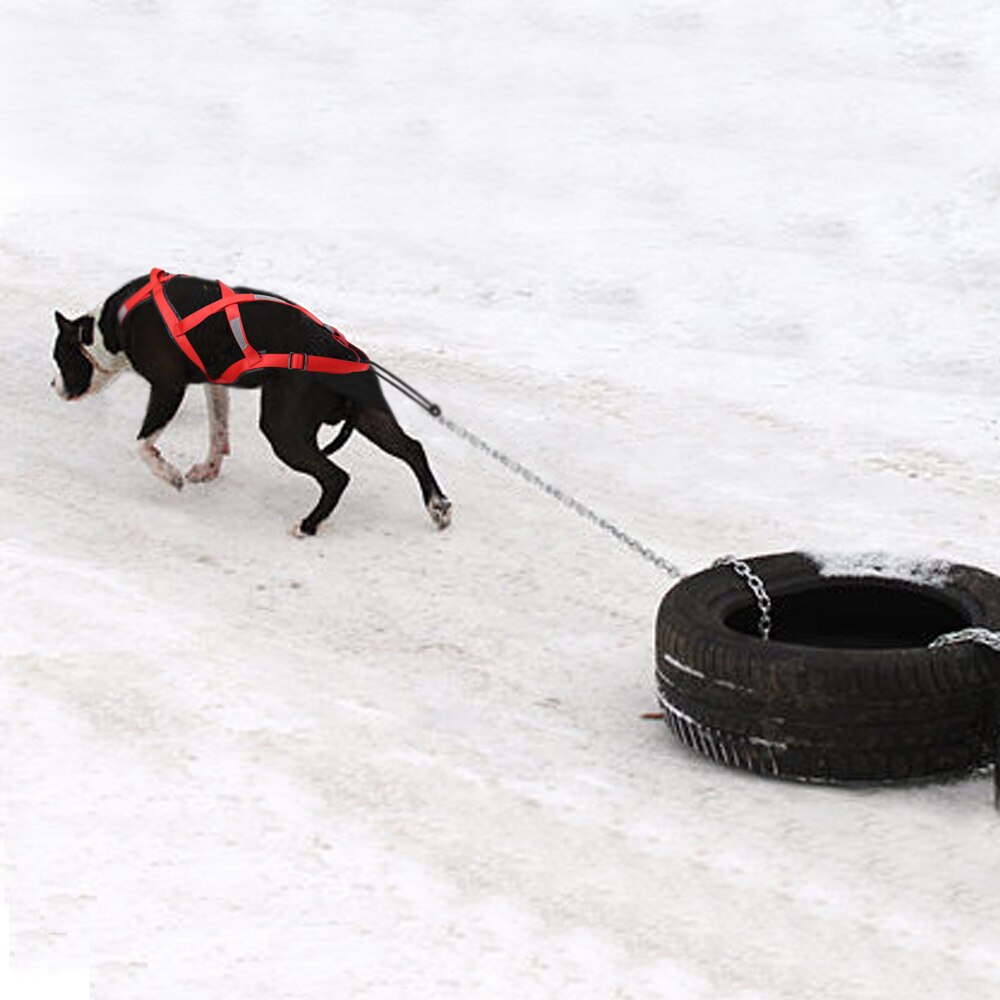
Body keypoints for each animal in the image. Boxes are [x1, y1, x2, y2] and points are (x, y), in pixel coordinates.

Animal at [50, 266, 450, 536]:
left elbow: (143, 445)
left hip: (282, 429)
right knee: (412, 449)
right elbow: (218, 430)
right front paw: (208, 469)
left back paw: (308, 525)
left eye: (59, 358)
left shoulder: (167, 387)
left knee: (336, 477)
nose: (53, 384)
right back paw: (438, 507)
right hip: (368, 415)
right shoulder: (213, 383)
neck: (111, 326)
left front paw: (170, 475)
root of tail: (347, 353)